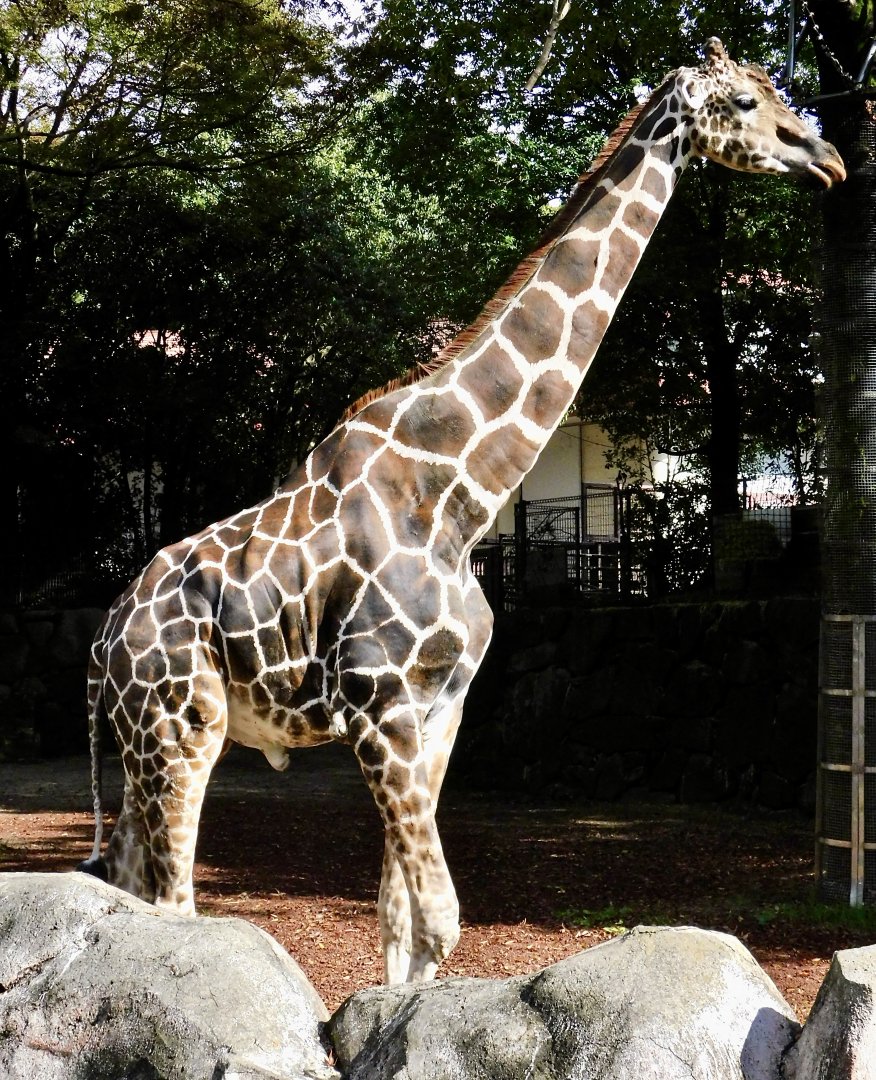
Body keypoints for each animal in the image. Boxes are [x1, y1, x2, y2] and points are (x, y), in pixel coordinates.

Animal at [80, 38, 844, 985]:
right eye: (745, 101)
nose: (828, 157)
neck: (459, 498)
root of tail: (103, 640)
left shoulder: (440, 709)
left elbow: (402, 925)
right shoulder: (379, 707)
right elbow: (442, 920)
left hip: (147, 739)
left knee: (128, 880)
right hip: (181, 725)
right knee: (174, 901)